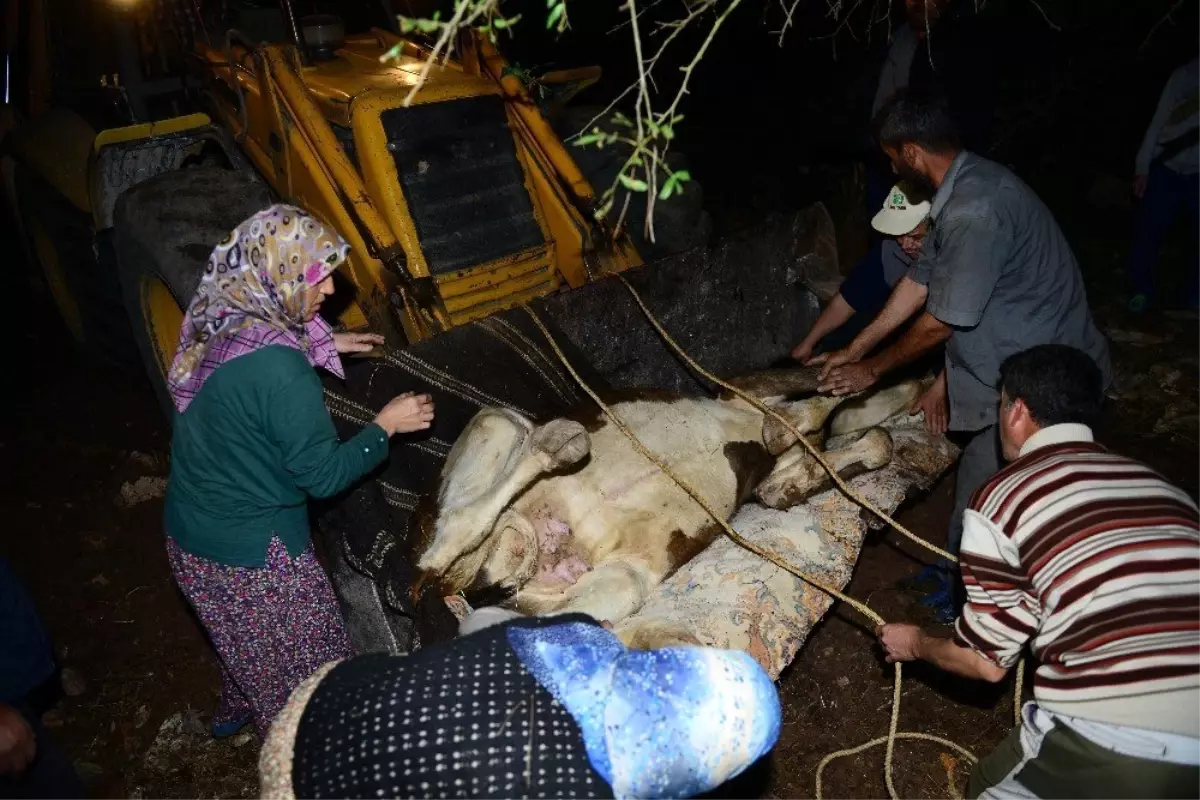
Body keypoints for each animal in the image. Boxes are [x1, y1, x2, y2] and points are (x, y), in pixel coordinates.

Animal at [408, 367, 921, 642]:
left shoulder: (772, 479)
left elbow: (871, 439)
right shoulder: (746, 385)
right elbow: (835, 387)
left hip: (618, 580)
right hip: (496, 424)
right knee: (449, 536)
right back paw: (557, 445)